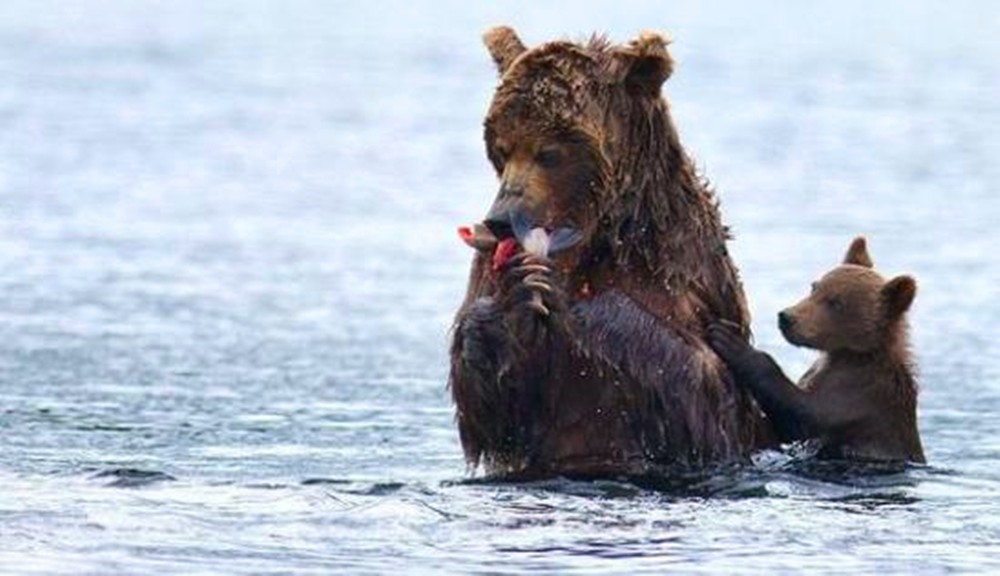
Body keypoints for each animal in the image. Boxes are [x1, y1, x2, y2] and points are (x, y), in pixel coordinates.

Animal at [452, 27, 772, 476]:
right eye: (501, 147)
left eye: (549, 152)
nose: (501, 219)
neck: (593, 238)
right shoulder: (486, 263)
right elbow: (493, 410)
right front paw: (513, 299)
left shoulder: (686, 271)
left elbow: (708, 390)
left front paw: (576, 304)